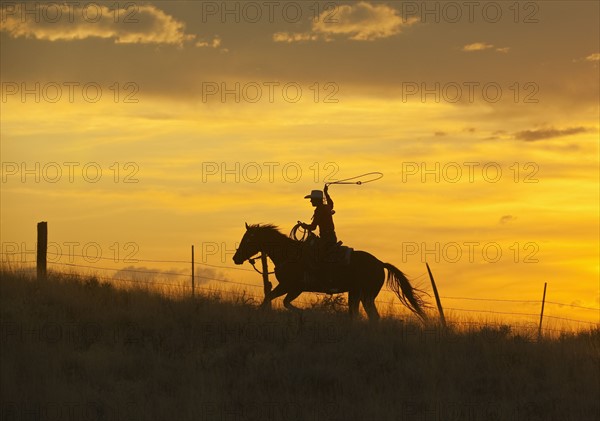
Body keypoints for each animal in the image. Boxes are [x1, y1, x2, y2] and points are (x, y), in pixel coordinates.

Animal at [232, 225, 428, 320]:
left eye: (248, 239)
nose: (236, 257)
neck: (290, 254)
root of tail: (380, 263)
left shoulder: (291, 287)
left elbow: (277, 300)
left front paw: (308, 313)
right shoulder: (290, 288)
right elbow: (272, 299)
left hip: (367, 295)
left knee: (373, 317)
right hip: (355, 293)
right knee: (356, 314)